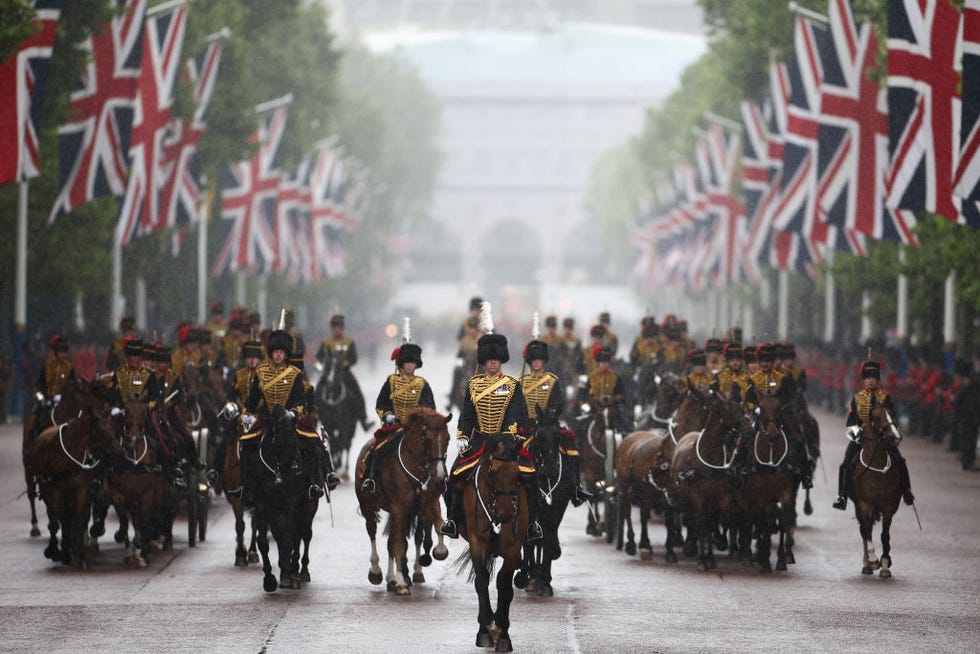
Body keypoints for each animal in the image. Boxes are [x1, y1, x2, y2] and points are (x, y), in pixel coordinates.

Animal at [28, 380, 116, 568]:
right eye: (102, 431)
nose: (119, 452)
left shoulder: (82, 491)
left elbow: (78, 519)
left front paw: (78, 552)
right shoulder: (53, 492)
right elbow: (58, 522)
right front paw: (57, 550)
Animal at [354, 408, 454, 596]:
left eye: (448, 438)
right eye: (426, 439)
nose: (439, 478)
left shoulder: (429, 504)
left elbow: (438, 526)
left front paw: (440, 551)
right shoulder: (399, 509)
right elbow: (399, 544)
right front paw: (401, 583)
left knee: (392, 541)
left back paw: (391, 578)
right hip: (367, 507)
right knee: (373, 532)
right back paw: (377, 572)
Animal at [460, 434, 528, 652]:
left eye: (518, 473)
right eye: (492, 471)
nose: (505, 514)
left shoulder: (514, 549)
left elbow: (504, 585)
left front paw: (502, 632)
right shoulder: (477, 543)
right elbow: (481, 581)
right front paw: (486, 629)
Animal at [672, 394, 752, 576]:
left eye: (741, 407)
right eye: (729, 410)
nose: (750, 428)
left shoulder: (720, 498)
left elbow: (715, 523)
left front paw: (711, 556)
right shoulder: (698, 499)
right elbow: (703, 527)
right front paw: (703, 560)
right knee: (695, 522)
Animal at [848, 404, 904, 580]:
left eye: (892, 414)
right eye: (877, 417)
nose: (895, 437)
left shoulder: (889, 507)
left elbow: (885, 535)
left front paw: (885, 564)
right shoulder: (865, 504)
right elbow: (867, 529)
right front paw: (873, 560)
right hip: (858, 507)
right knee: (864, 530)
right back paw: (867, 564)